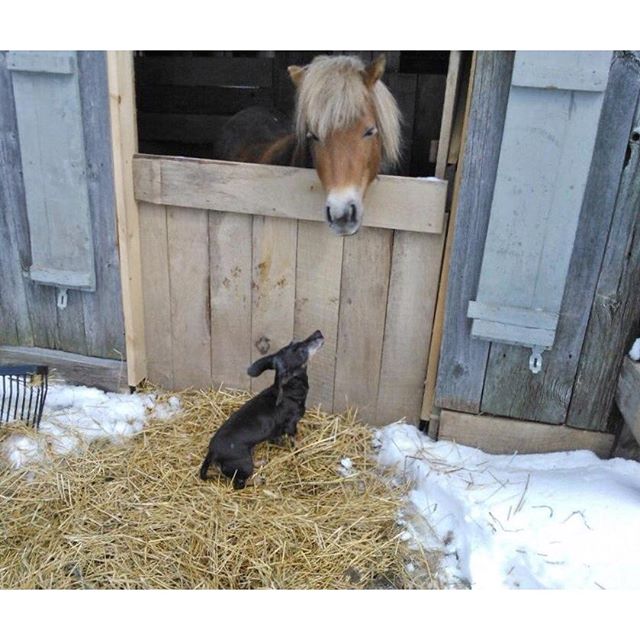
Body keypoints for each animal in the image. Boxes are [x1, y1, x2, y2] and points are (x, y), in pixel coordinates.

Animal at [200, 330, 324, 490]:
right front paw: (300, 450)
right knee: (239, 484)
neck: (290, 391)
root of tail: (212, 453)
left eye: (293, 342)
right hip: (244, 464)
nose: (318, 333)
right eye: (302, 352)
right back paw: (258, 480)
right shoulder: (291, 425)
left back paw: (258, 463)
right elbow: (296, 441)